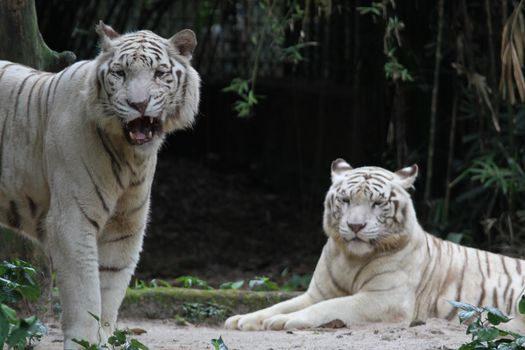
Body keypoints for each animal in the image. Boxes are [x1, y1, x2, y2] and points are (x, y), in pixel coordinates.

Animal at [0, 21, 200, 348]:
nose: (138, 104)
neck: (130, 157)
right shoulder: (71, 221)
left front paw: (103, 339)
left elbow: (109, 292)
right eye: (120, 73)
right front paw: (82, 340)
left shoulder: (124, 227)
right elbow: (85, 294)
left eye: (160, 73)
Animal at [224, 160, 524, 332]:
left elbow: (327, 307)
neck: (349, 258)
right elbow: (279, 305)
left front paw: (283, 322)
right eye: (345, 200)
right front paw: (243, 319)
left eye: (377, 203)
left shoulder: (385, 299)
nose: (355, 225)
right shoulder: (317, 293)